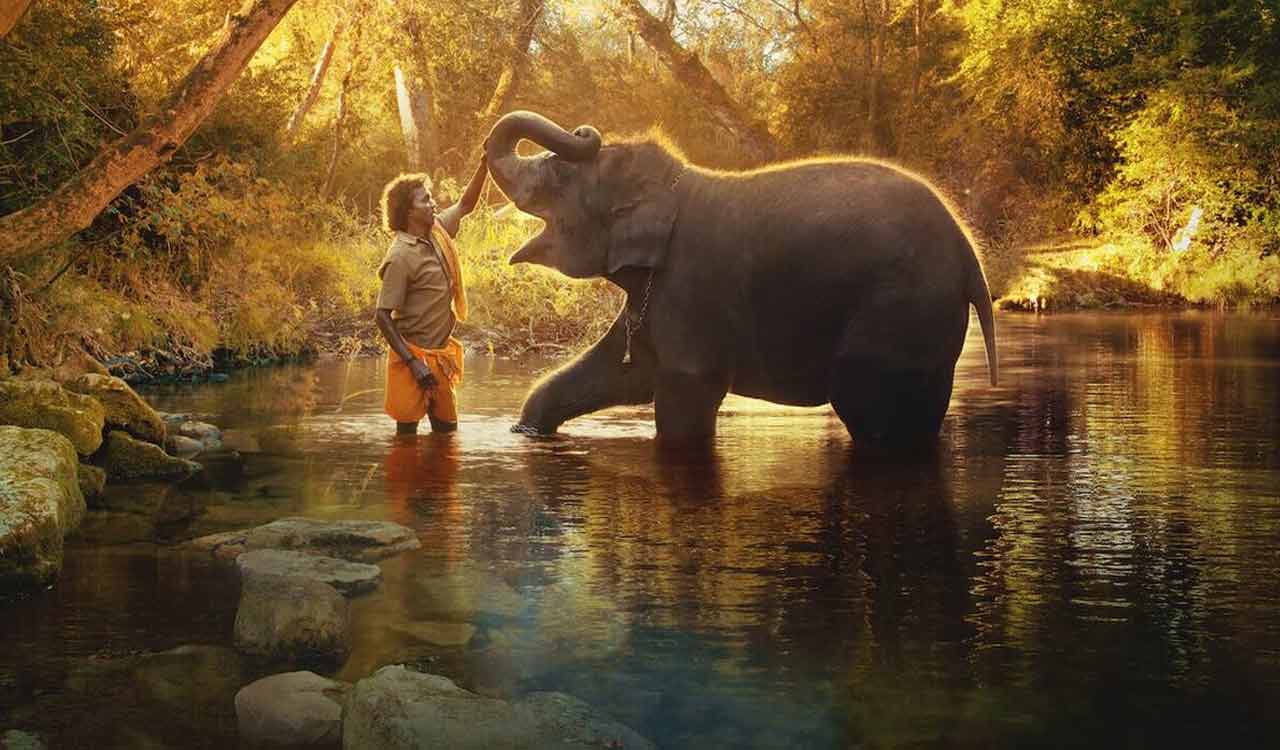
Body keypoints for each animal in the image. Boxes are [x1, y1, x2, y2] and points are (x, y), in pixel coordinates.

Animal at [484, 111, 998, 443]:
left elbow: (684, 394)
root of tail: (970, 255)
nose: (584, 130)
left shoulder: (690, 286)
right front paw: (526, 431)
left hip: (899, 309)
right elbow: (623, 372)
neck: (672, 187)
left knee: (866, 407)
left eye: (559, 176)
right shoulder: (658, 292)